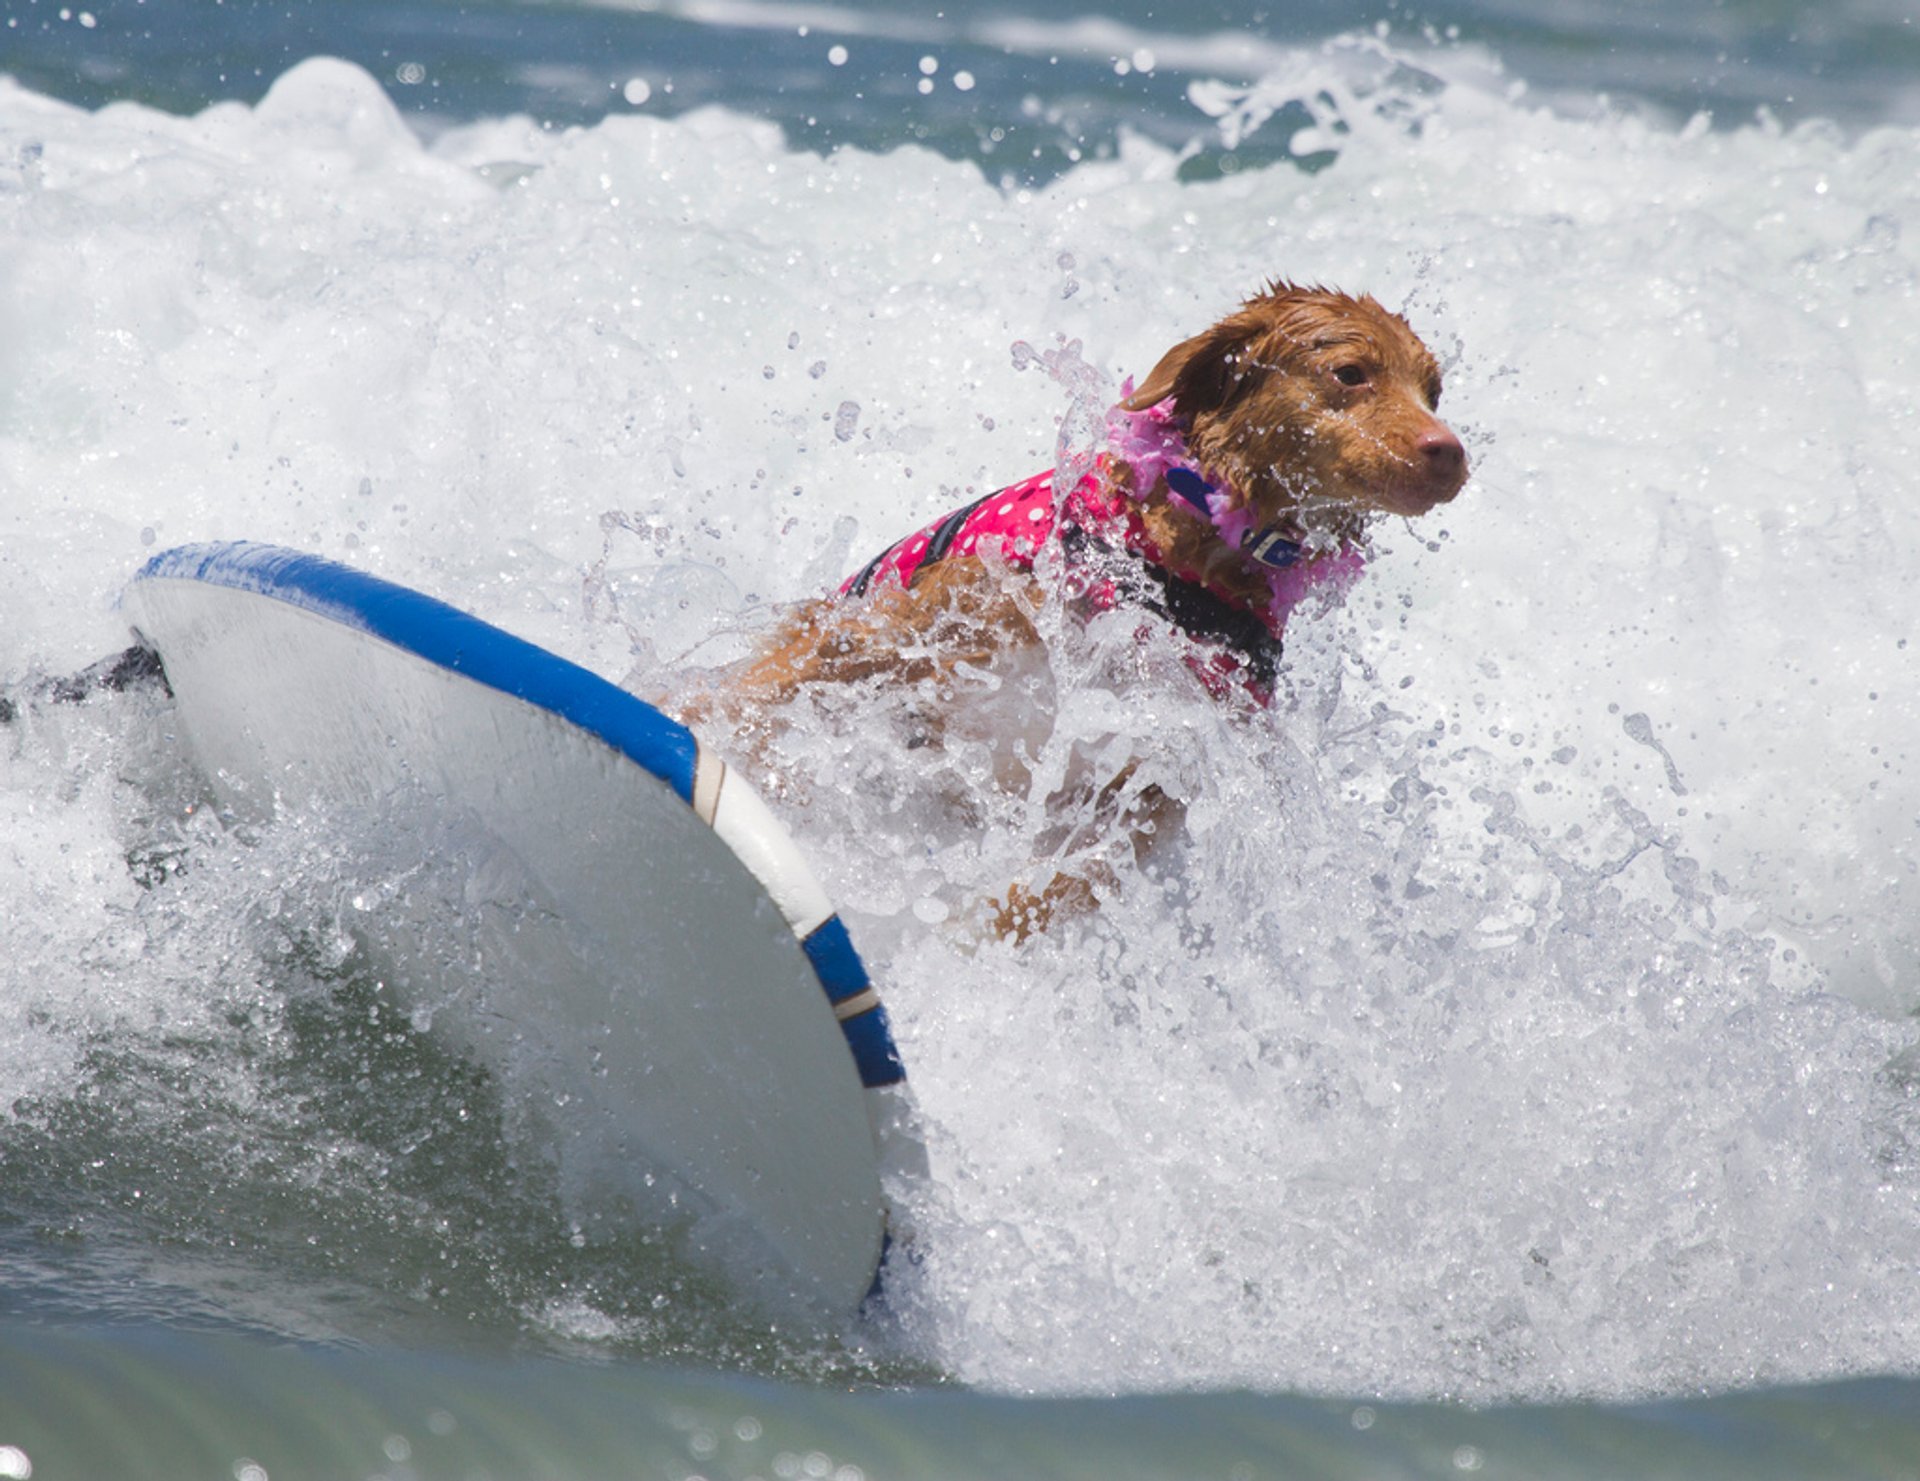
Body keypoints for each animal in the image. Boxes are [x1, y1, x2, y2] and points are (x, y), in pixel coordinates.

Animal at [687, 280, 1466, 937]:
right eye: (1350, 372)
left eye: (1432, 388)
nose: (1449, 451)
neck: (1180, 568)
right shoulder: (921, 623)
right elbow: (747, 698)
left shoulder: (1165, 766)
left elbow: (1072, 874)